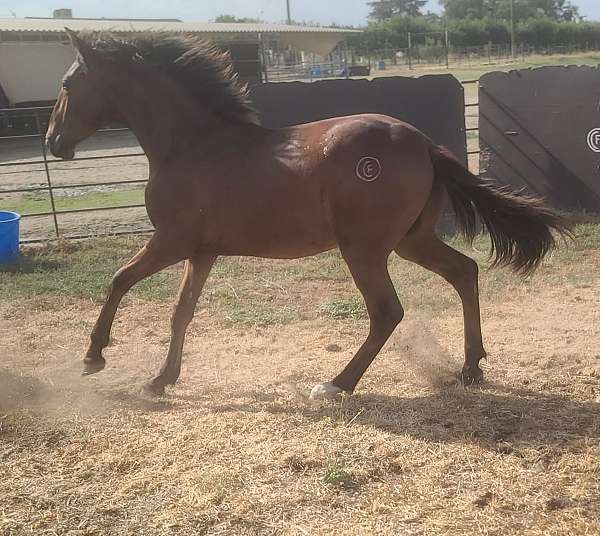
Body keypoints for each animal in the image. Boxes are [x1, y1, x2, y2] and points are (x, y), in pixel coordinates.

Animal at [47, 29, 568, 398]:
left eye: (69, 83)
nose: (53, 143)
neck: (192, 146)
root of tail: (424, 143)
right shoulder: (202, 252)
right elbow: (182, 312)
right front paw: (161, 379)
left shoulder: (171, 241)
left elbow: (118, 280)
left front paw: (93, 357)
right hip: (411, 241)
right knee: (464, 271)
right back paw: (471, 367)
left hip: (364, 249)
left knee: (387, 311)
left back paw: (336, 384)